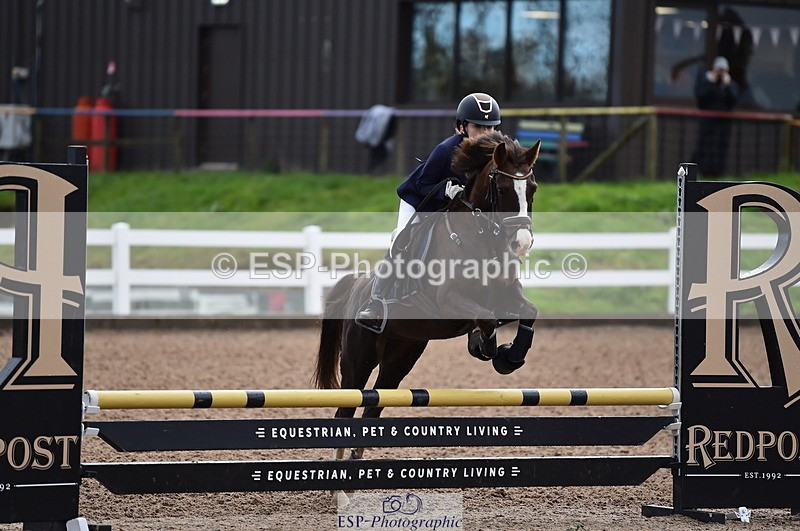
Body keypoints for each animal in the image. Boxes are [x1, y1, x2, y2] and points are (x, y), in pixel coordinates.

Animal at [313, 131, 541, 465]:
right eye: (501, 188)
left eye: (533, 188)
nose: (522, 243)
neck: (482, 240)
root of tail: (357, 285)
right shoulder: (448, 300)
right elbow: (486, 319)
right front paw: (486, 347)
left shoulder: (507, 294)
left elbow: (528, 311)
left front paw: (508, 357)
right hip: (359, 356)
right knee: (347, 406)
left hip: (401, 356)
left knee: (374, 403)